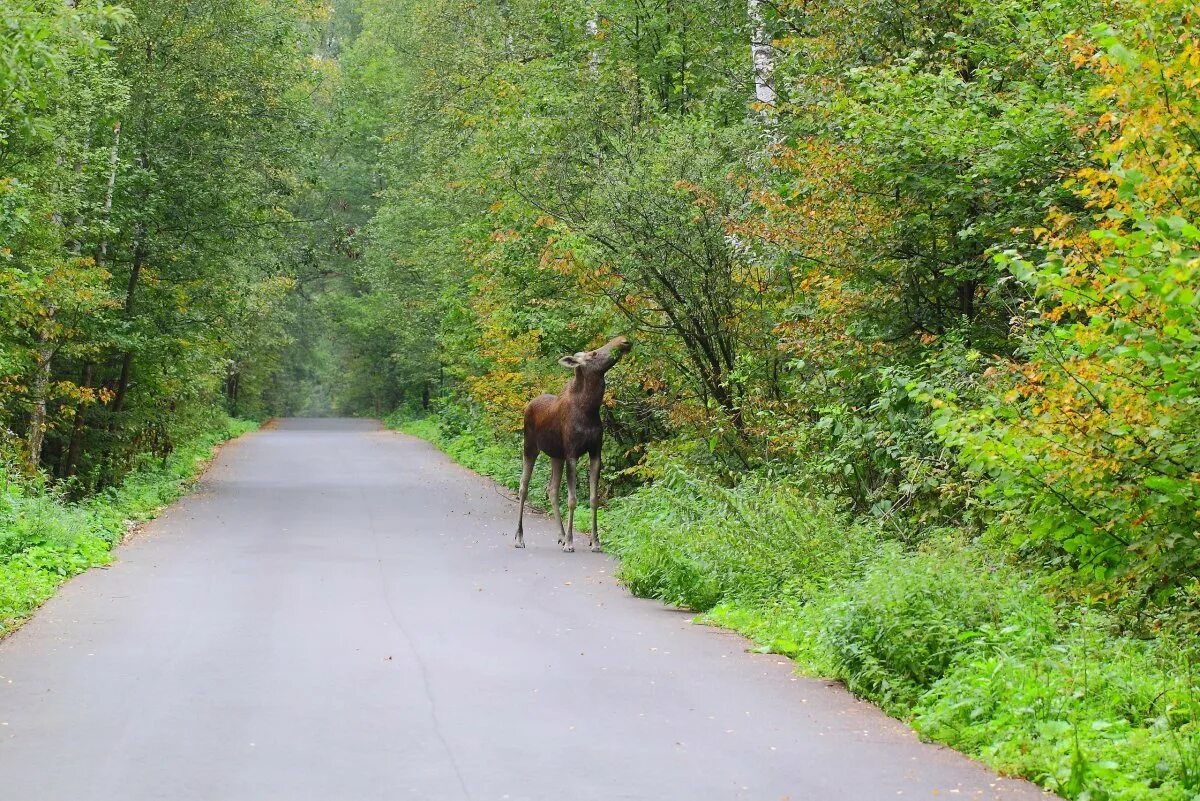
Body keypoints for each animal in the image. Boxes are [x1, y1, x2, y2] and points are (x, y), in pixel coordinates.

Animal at [513, 335, 633, 551]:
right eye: (593, 353)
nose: (623, 340)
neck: (589, 409)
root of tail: (528, 405)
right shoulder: (572, 453)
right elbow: (572, 499)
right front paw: (570, 542)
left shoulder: (595, 452)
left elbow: (594, 499)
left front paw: (595, 541)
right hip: (530, 447)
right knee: (523, 486)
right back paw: (520, 538)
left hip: (555, 456)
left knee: (551, 490)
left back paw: (560, 535)